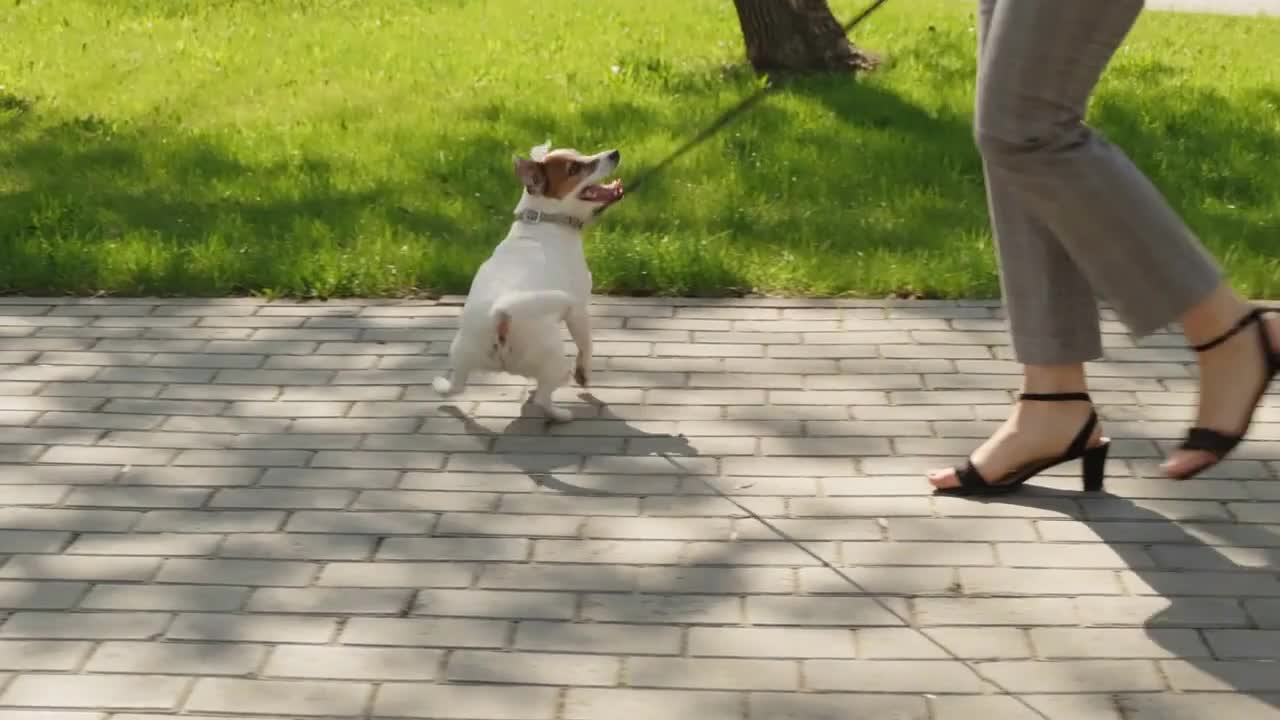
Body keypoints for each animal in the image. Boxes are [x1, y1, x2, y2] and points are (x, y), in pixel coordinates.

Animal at [435, 141, 624, 420]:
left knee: (456, 386)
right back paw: (561, 415)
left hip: (461, 355)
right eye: (574, 168)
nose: (614, 153)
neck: (543, 219)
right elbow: (586, 345)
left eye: (580, 155)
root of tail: (499, 316)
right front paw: (584, 374)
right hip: (555, 360)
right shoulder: (578, 311)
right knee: (544, 398)